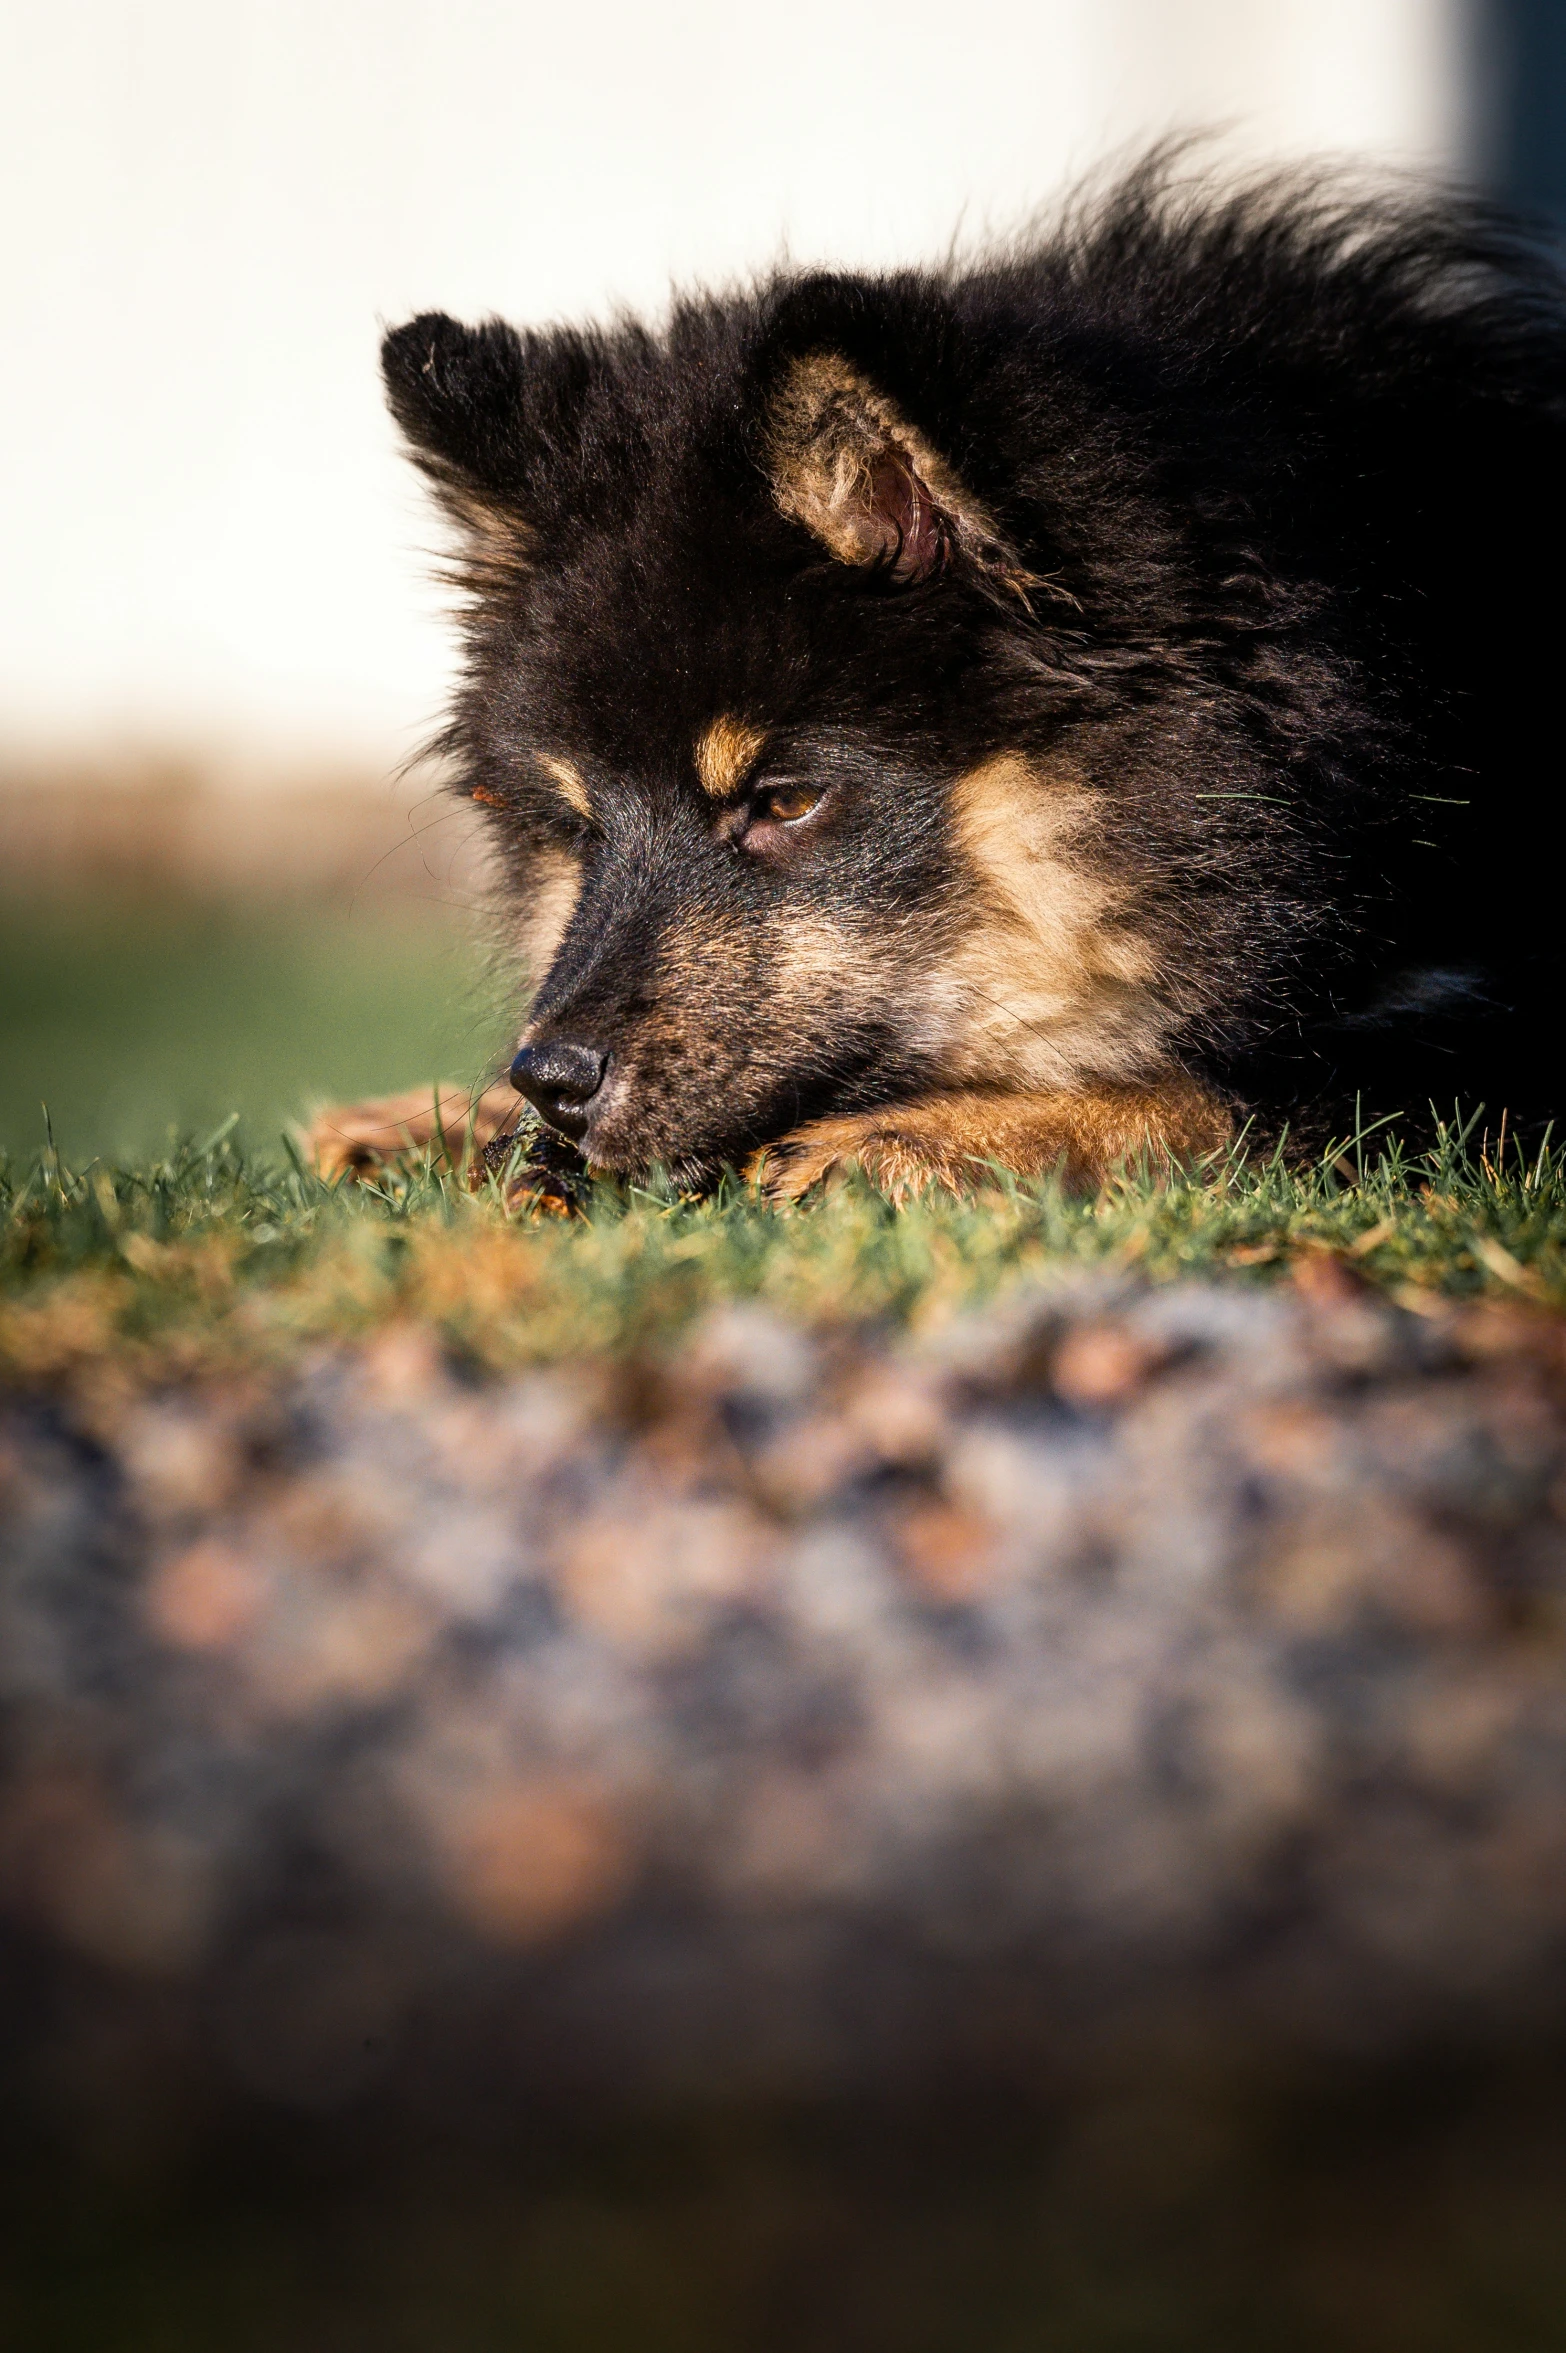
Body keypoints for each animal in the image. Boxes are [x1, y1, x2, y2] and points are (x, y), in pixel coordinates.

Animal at [315, 161, 1561, 1214]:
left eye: (785, 801)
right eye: (580, 826)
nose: (553, 1078)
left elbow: (1275, 1093)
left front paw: (923, 1137)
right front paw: (435, 1119)